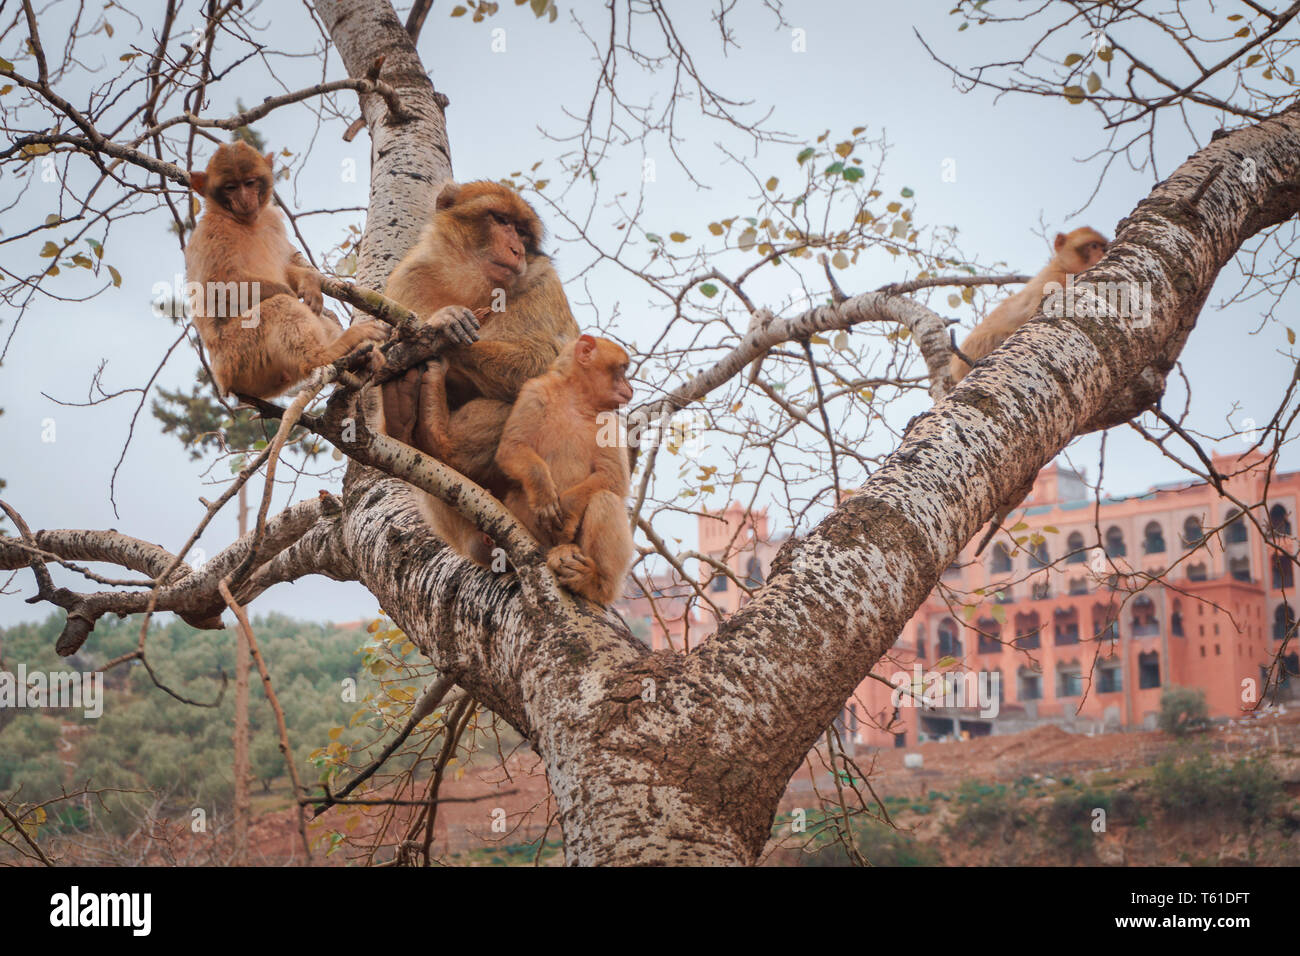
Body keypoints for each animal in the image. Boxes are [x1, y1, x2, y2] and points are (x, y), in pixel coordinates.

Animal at [185, 140, 384, 398]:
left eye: (249, 183)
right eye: (230, 187)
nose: (245, 199)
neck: (244, 222)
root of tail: (224, 382)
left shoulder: (271, 219)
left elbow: (287, 268)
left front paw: (309, 282)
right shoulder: (214, 233)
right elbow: (218, 286)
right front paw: (292, 293)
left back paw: (357, 356)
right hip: (238, 355)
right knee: (280, 306)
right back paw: (323, 354)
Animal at [379, 180, 577, 561]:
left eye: (522, 232)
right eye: (501, 220)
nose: (516, 249)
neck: (469, 285)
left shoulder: (541, 281)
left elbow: (547, 363)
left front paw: (444, 328)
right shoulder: (408, 279)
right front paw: (445, 320)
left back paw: (440, 435)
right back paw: (401, 408)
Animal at [493, 335, 637, 606]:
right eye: (622, 370)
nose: (630, 387)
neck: (577, 398)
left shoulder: (609, 420)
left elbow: (613, 477)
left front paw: (568, 509)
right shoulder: (534, 390)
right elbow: (512, 446)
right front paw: (543, 493)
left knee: (605, 499)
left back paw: (595, 583)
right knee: (518, 493)